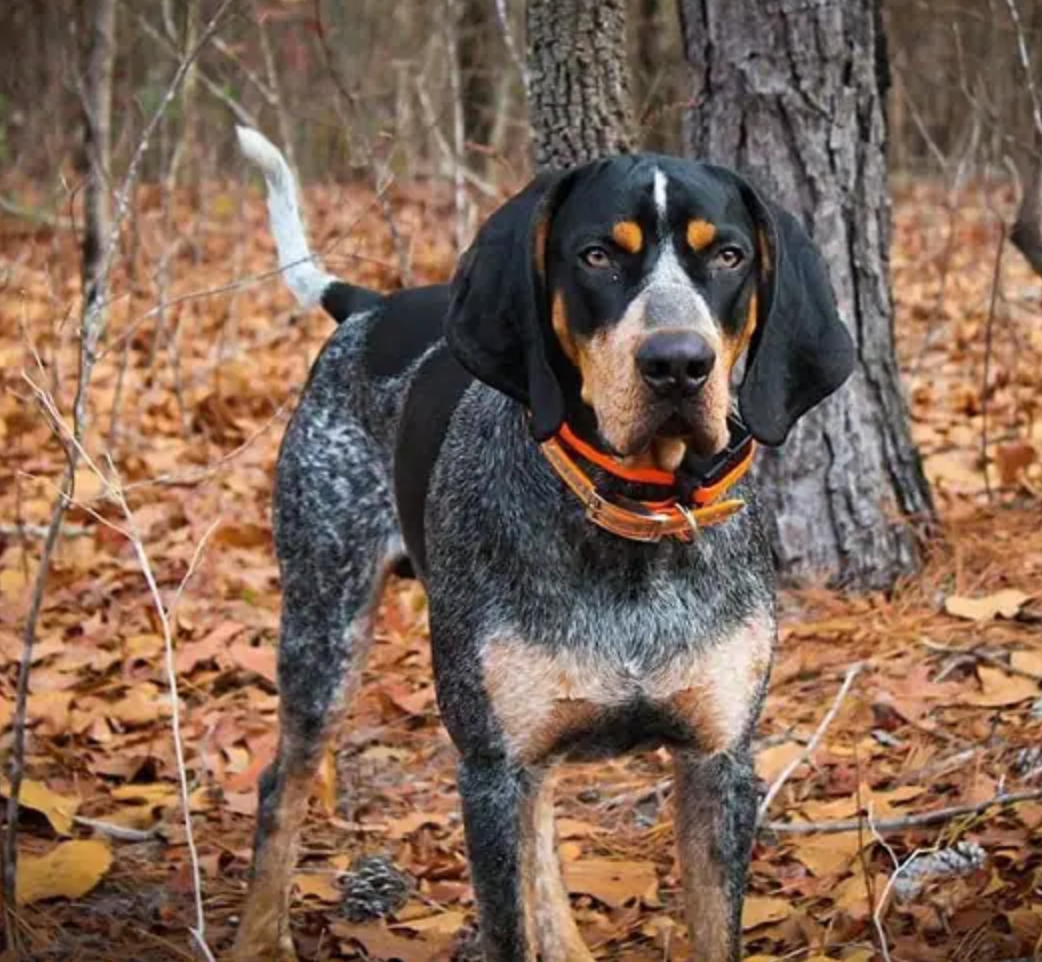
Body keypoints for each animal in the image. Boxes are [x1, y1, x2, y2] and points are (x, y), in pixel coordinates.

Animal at [232, 127, 850, 962]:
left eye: (728, 256)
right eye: (596, 256)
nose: (678, 364)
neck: (634, 521)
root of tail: (372, 306)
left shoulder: (718, 764)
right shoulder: (490, 770)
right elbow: (507, 922)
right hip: (324, 623)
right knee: (282, 786)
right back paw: (255, 937)